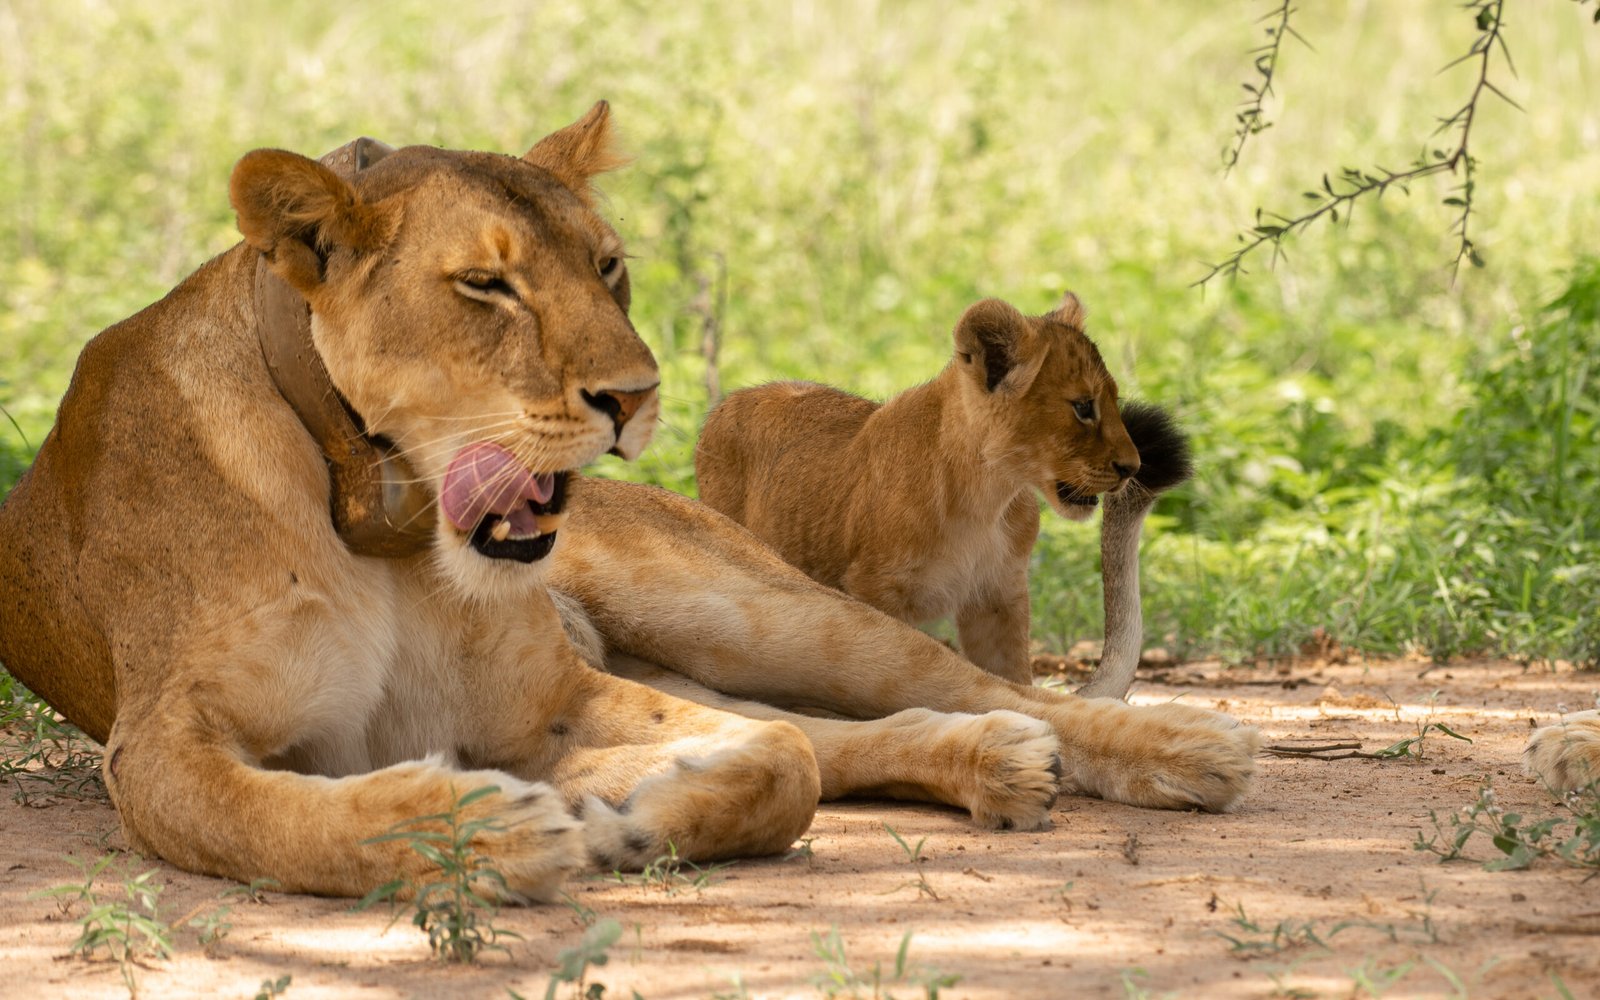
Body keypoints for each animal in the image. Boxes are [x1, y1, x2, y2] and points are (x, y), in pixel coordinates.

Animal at [694, 294, 1192, 696]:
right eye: (1084, 407)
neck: (989, 494)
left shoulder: (998, 596)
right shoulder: (877, 590)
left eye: (1111, 402)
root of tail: (729, 401)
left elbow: (1012, 681)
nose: (1133, 467)